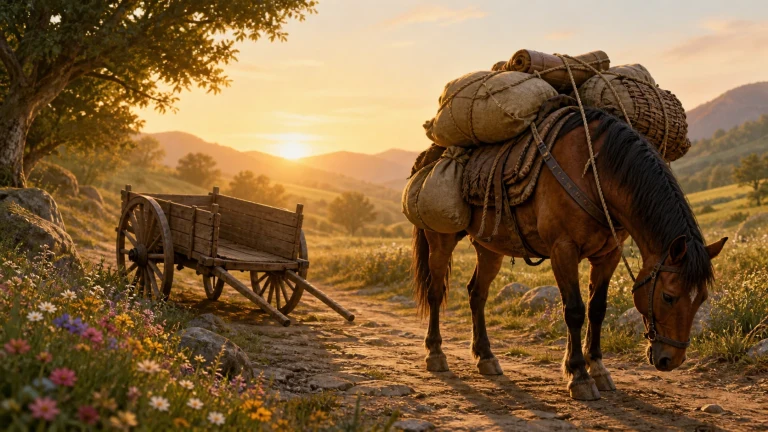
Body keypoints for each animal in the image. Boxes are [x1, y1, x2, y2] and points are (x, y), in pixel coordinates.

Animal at [411, 108, 728, 401]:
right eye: (668, 296)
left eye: (701, 299)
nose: (671, 360)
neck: (596, 174)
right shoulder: (563, 249)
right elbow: (574, 310)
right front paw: (578, 375)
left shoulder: (608, 256)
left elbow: (597, 309)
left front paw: (598, 369)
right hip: (440, 240)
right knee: (436, 291)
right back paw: (435, 353)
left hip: (489, 249)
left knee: (477, 294)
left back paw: (485, 356)